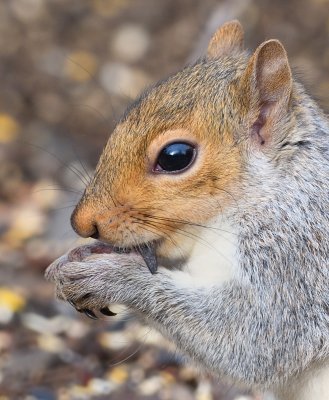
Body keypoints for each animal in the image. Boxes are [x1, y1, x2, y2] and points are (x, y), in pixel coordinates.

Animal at [46, 21, 328, 396]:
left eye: (175, 157)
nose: (82, 224)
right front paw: (81, 255)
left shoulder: (295, 262)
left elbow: (255, 340)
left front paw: (110, 275)